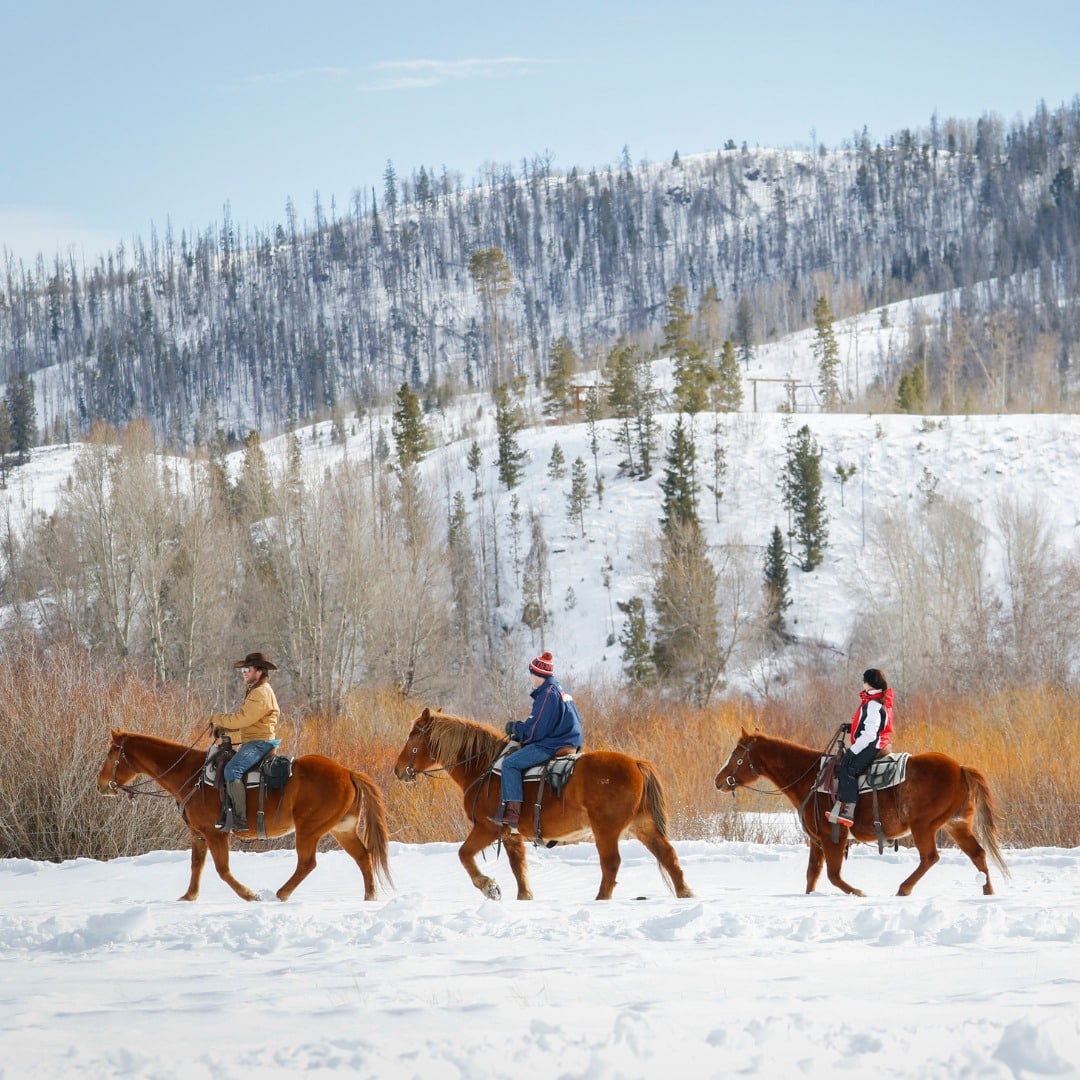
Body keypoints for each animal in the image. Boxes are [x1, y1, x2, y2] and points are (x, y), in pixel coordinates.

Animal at [395, 708, 691, 902]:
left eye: (412, 736)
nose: (398, 770)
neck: (484, 767)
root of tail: (636, 763)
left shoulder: (487, 829)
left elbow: (464, 855)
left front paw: (489, 887)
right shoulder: (511, 835)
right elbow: (518, 868)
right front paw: (524, 897)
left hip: (606, 830)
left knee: (611, 863)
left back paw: (600, 900)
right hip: (643, 825)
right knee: (667, 855)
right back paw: (685, 892)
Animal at [712, 730, 1006, 898]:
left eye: (737, 754)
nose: (718, 780)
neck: (811, 778)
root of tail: (960, 768)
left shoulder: (834, 837)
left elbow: (833, 875)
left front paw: (859, 892)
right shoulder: (817, 841)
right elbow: (812, 876)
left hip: (924, 826)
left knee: (930, 857)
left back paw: (904, 888)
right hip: (957, 825)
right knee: (978, 854)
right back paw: (988, 891)